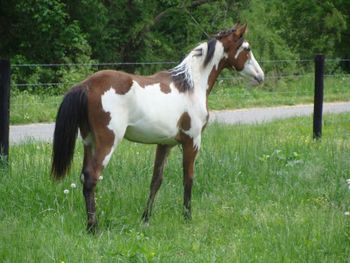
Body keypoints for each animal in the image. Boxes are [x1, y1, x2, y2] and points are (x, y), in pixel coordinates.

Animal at [51, 23, 266, 232]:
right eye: (247, 49)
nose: (260, 76)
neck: (190, 86)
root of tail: (86, 85)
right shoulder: (192, 141)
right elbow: (188, 179)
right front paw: (187, 218)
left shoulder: (165, 144)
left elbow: (156, 181)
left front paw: (145, 219)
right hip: (107, 142)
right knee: (92, 177)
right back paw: (93, 228)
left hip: (89, 142)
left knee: (84, 176)